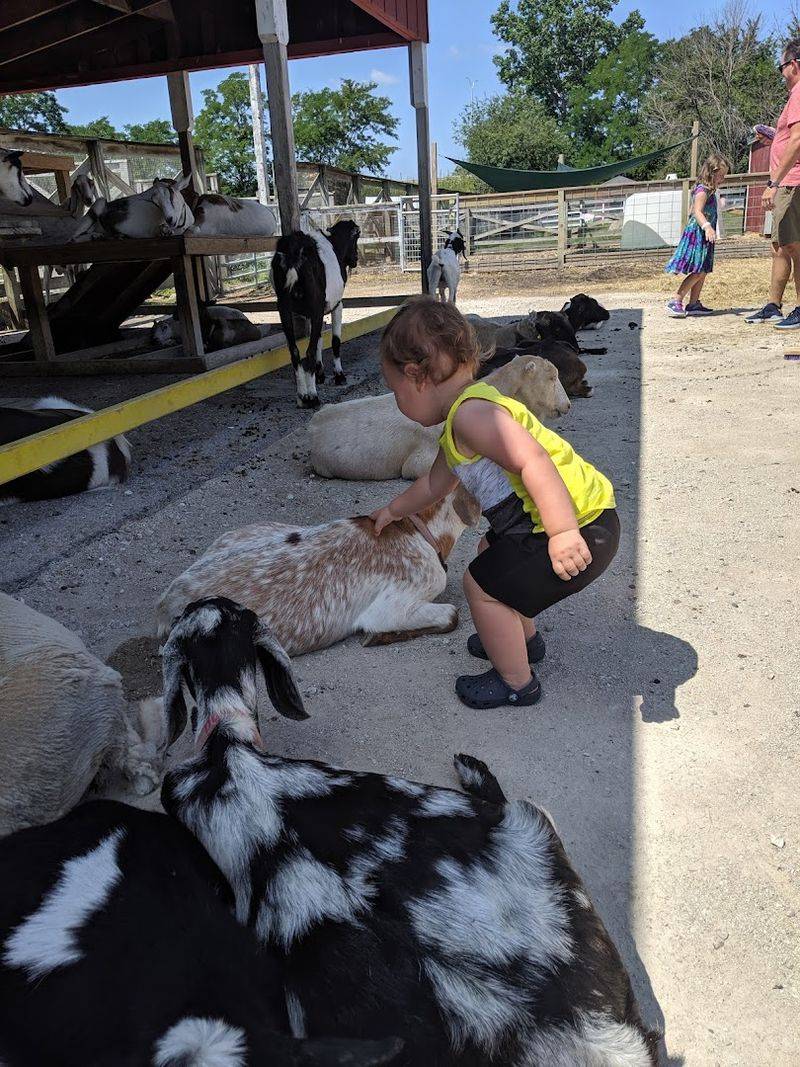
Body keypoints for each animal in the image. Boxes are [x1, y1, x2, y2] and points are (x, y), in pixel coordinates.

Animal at [271, 219, 361, 409]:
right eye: (355, 237)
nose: (355, 259)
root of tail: (294, 251)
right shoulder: (336, 305)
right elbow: (334, 341)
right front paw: (339, 376)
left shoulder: (311, 315)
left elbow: (318, 340)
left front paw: (320, 374)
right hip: (316, 306)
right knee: (309, 352)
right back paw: (312, 397)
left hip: (284, 309)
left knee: (295, 351)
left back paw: (302, 397)